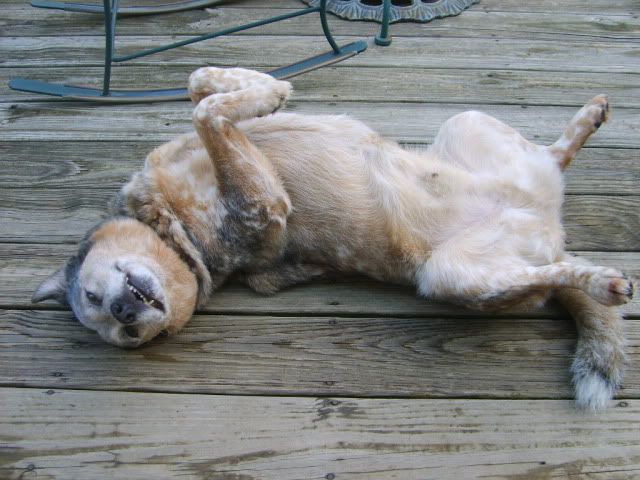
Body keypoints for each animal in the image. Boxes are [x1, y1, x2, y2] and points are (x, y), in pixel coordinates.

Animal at [36, 66, 636, 408]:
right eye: (126, 337)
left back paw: (587, 120)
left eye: (93, 295)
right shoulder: (262, 205)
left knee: (552, 157)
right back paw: (602, 281)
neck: (173, 224)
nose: (125, 312)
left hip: (466, 123)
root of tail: (546, 223)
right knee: (550, 277)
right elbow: (210, 111)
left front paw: (249, 85)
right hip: (450, 275)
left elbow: (205, 89)